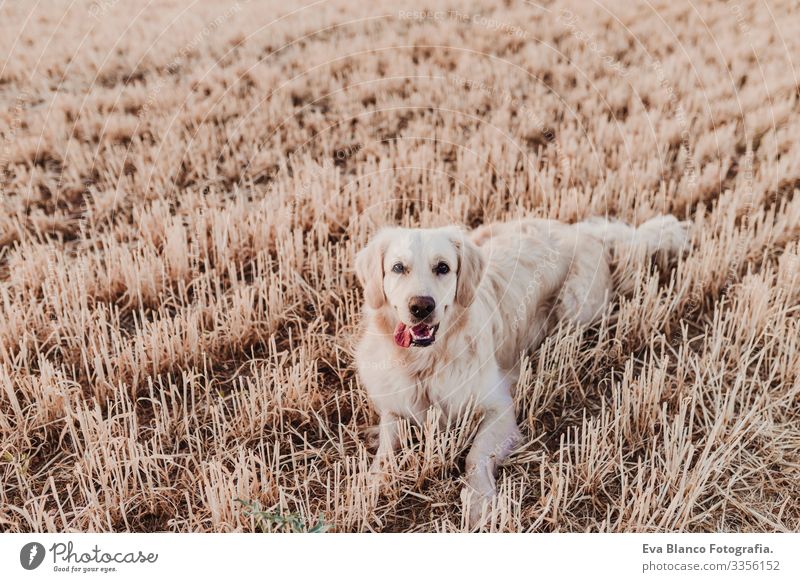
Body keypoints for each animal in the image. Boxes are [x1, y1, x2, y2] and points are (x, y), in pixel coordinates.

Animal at [354, 216, 688, 528]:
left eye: (443, 267)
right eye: (398, 268)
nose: (421, 307)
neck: (425, 362)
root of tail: (579, 230)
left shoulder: (500, 408)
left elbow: (475, 455)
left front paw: (479, 502)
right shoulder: (395, 407)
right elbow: (385, 452)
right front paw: (371, 484)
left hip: (575, 307)